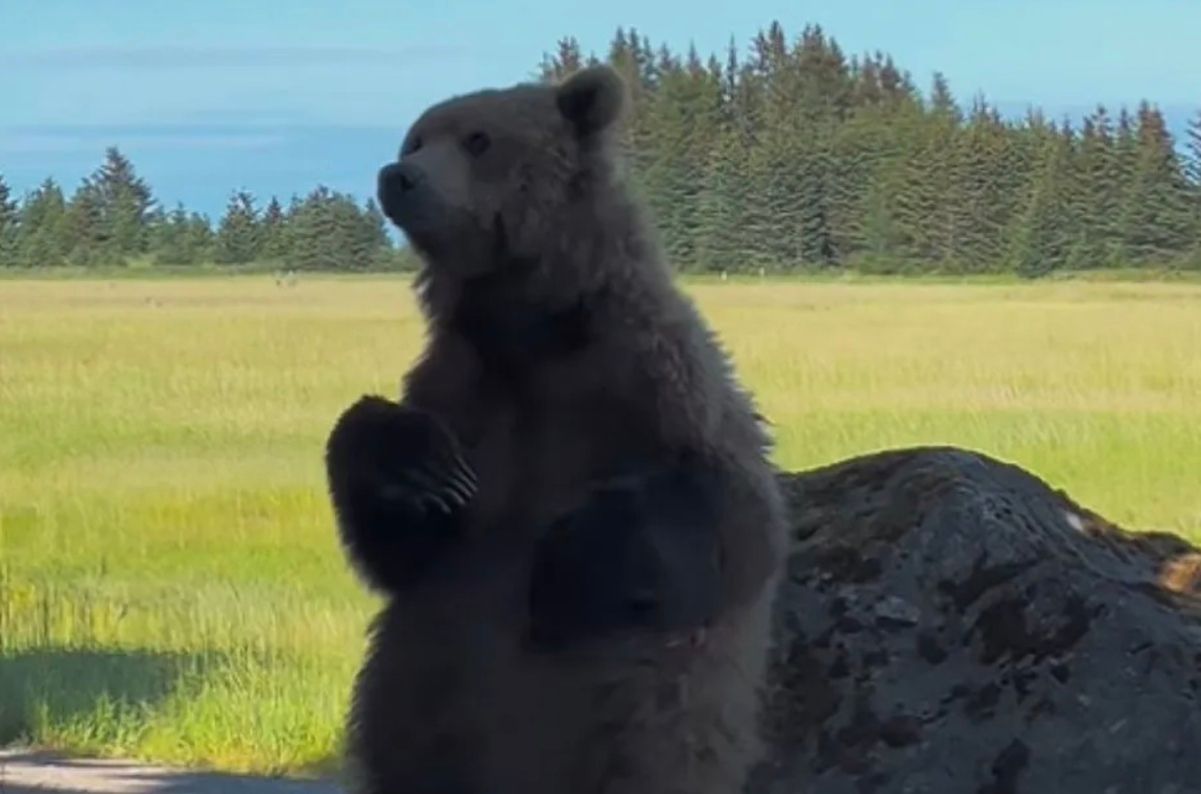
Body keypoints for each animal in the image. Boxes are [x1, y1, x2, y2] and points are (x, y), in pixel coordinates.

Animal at [324, 63, 787, 792]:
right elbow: (404, 546)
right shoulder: (464, 387)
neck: (531, 334)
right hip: (420, 718)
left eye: (478, 139)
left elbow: (733, 516)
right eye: (417, 137)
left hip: (632, 740)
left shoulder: (647, 373)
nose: (398, 177)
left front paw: (568, 558)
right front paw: (419, 466)